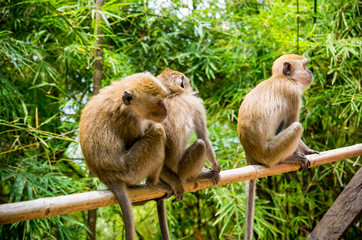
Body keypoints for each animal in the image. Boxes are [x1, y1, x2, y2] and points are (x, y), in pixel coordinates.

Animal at [79, 72, 168, 240]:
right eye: (158, 101)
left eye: (164, 98)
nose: (166, 110)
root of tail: (109, 178)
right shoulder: (131, 122)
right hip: (132, 169)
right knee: (158, 132)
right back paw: (154, 183)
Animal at [155, 68, 222, 240]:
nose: (189, 82)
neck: (171, 94)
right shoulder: (195, 103)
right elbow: (203, 137)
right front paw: (216, 167)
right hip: (182, 169)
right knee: (200, 144)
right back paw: (198, 176)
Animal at [238, 54, 320, 240]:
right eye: (305, 66)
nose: (311, 72)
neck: (281, 78)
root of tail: (250, 153)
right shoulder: (291, 93)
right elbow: (290, 123)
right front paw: (302, 152)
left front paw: (309, 151)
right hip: (271, 152)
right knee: (296, 127)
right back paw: (290, 157)